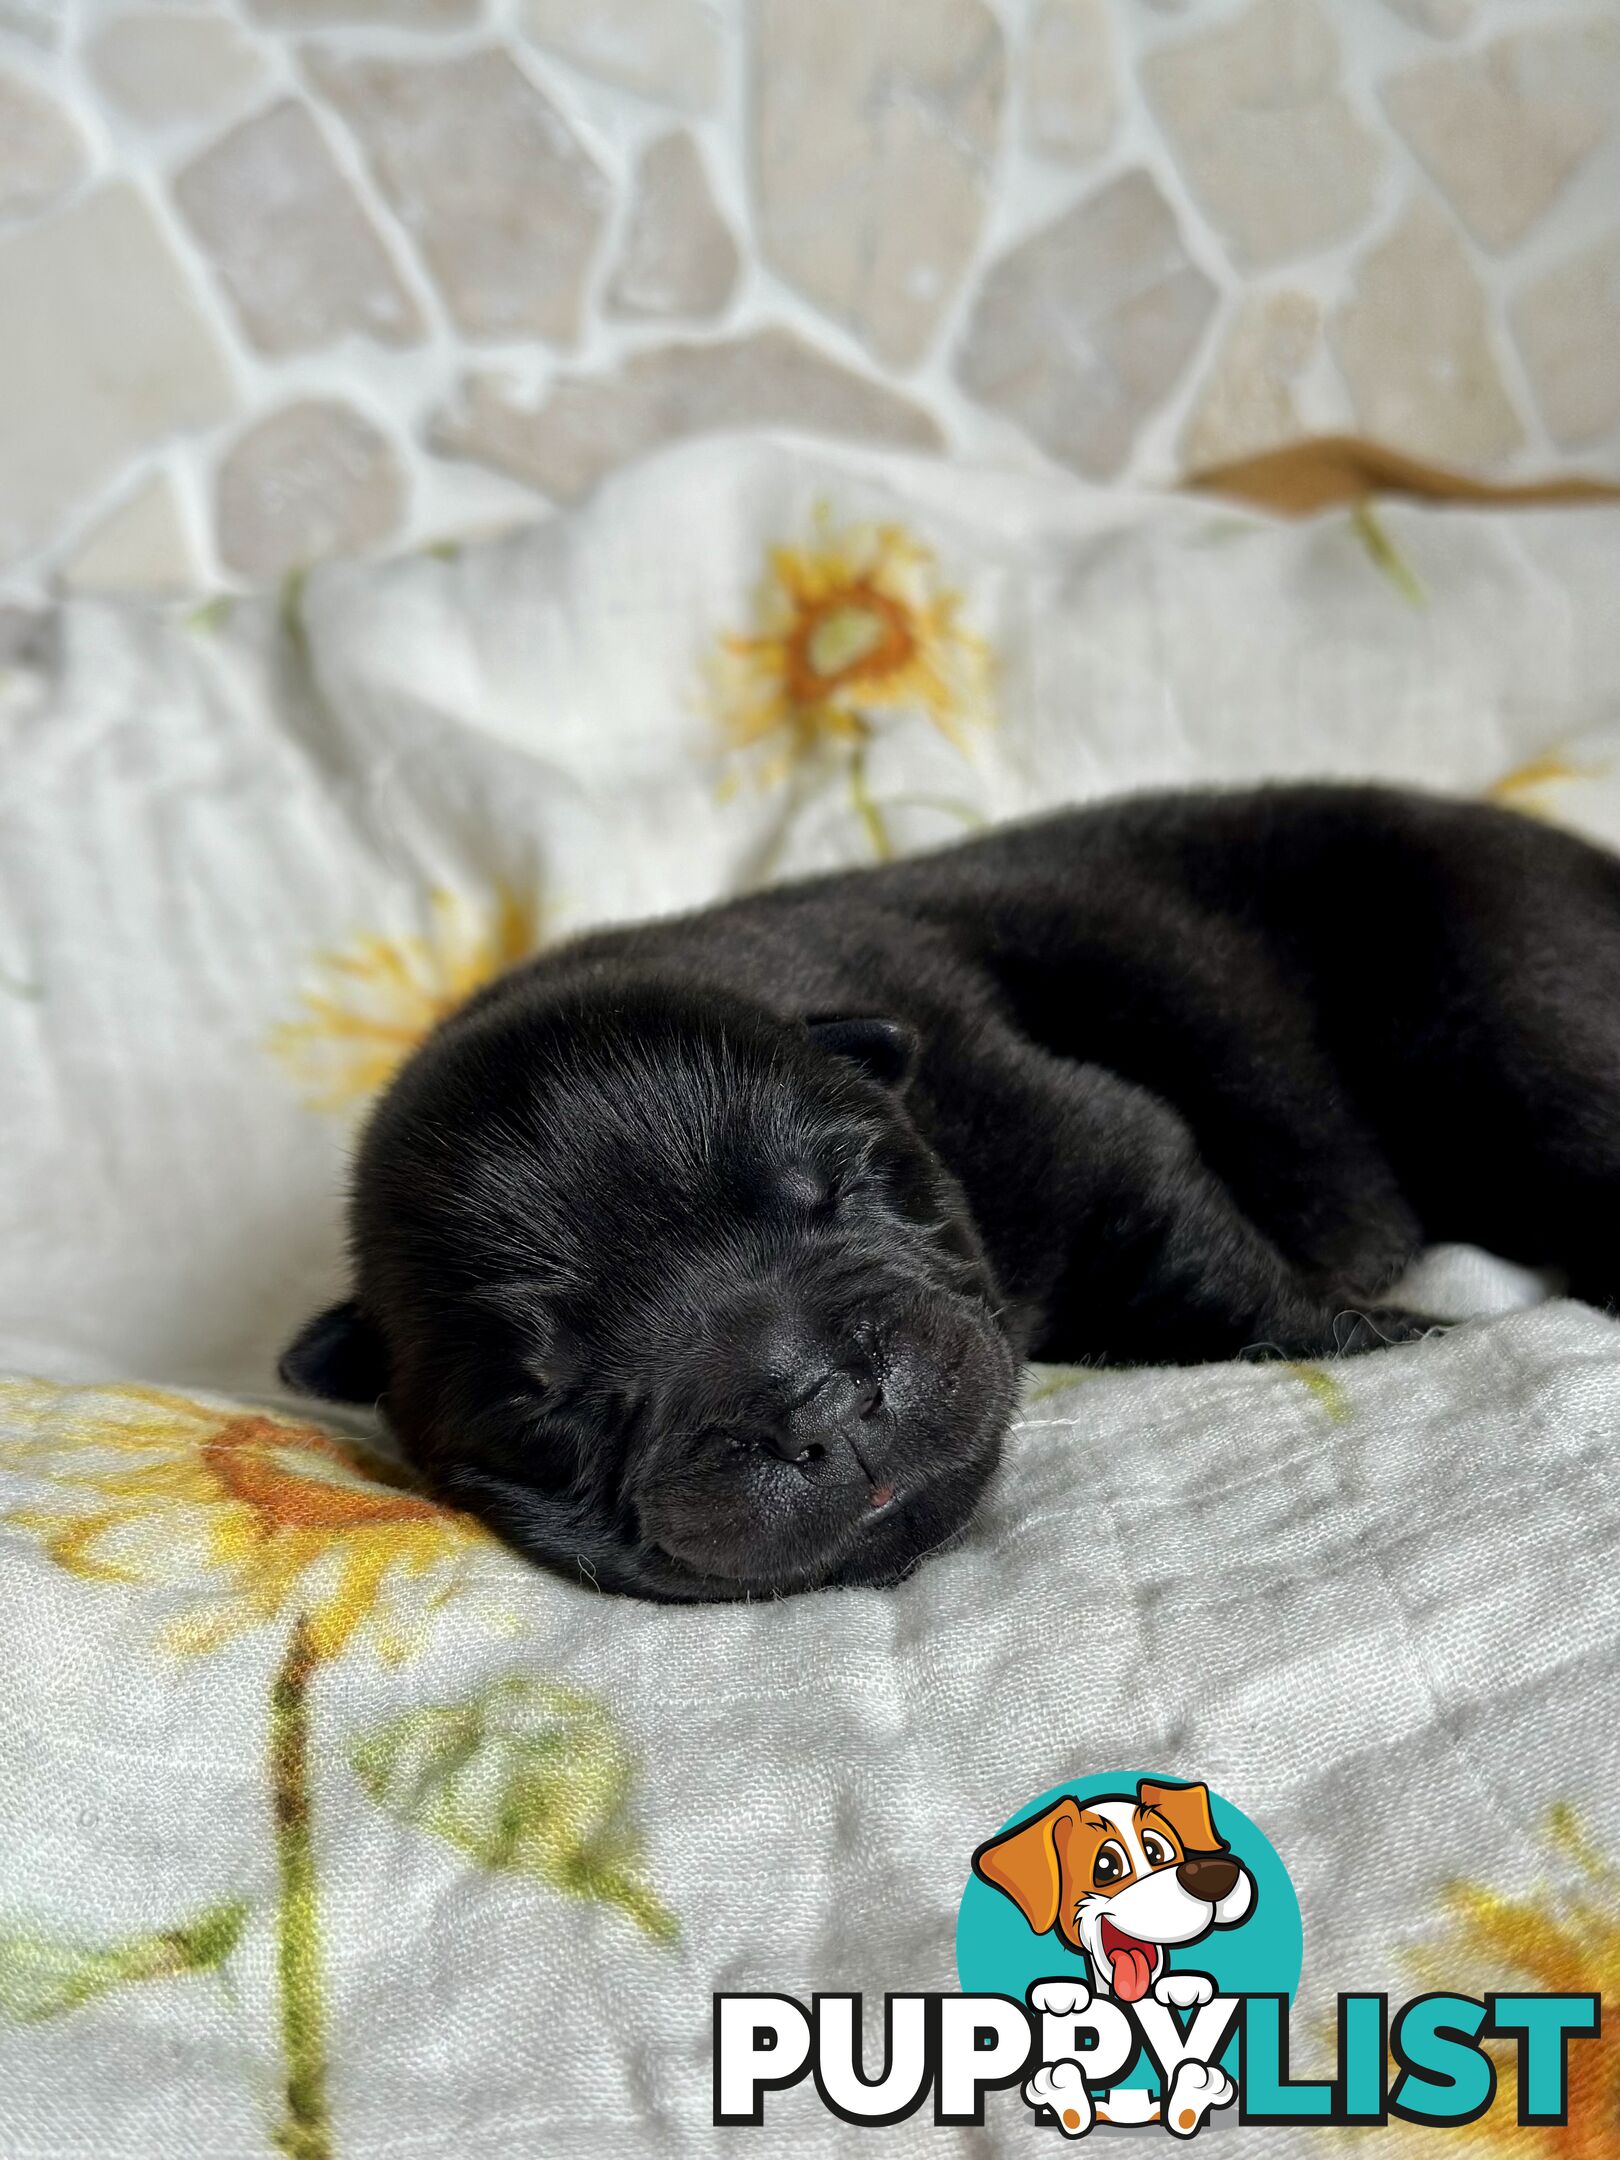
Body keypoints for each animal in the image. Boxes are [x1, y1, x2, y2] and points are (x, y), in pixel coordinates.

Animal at [282, 786, 1620, 1598]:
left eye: (837, 1188)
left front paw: (1390, 1337)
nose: (817, 1404)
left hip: (1504, 1001)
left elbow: (1218, 1277)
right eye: (549, 1398)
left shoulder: (1090, 1137)